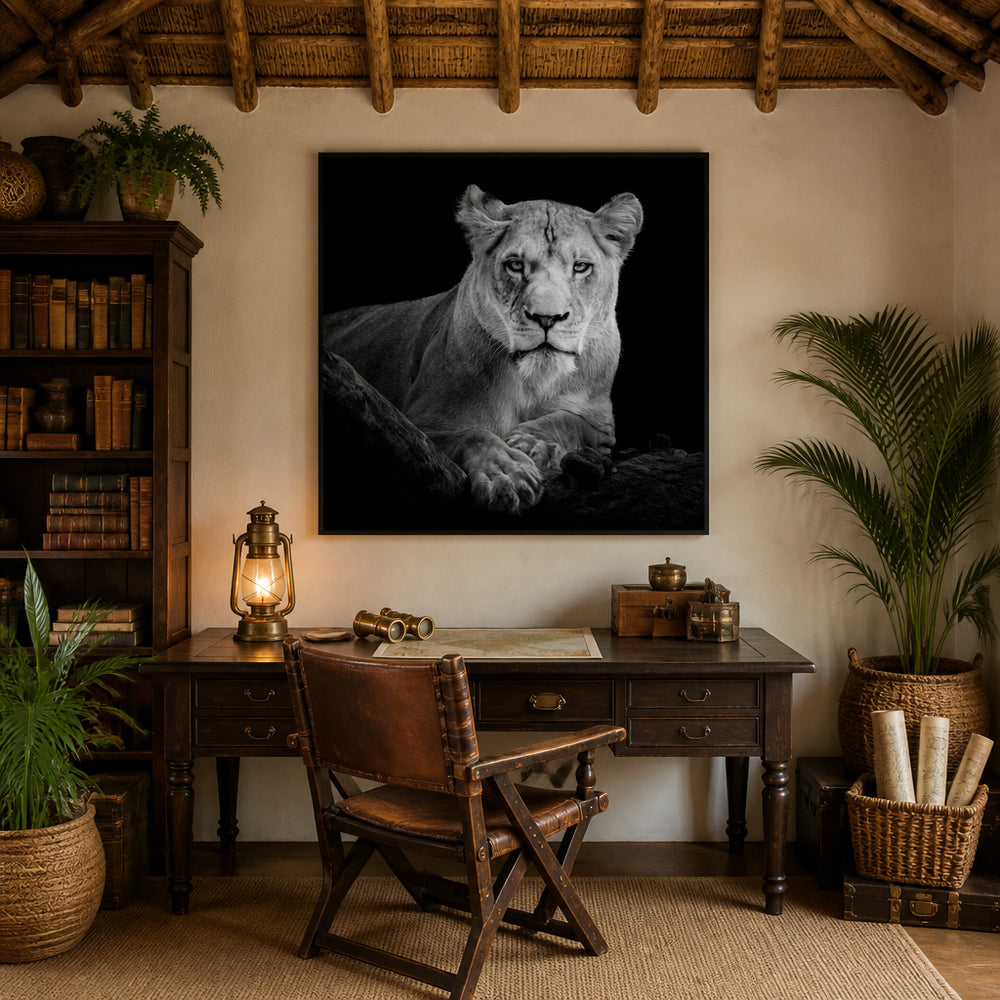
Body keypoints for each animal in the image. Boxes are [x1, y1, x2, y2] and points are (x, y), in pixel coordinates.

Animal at [321, 183, 644, 515]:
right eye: (515, 265)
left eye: (581, 267)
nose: (547, 318)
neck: (533, 381)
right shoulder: (416, 426)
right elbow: (474, 435)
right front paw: (507, 475)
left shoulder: (601, 425)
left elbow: (570, 421)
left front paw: (533, 444)